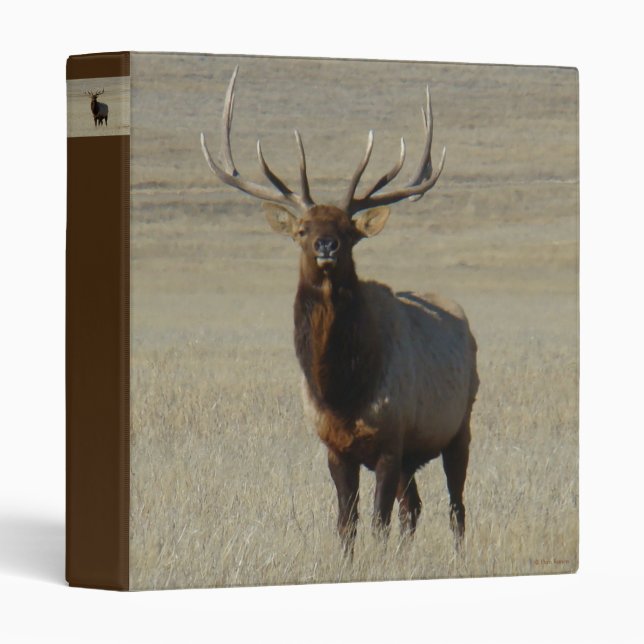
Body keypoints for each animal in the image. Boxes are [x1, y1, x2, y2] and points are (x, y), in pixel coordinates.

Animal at [201, 67, 479, 554]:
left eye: (350, 231)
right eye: (302, 229)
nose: (326, 245)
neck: (342, 390)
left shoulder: (390, 440)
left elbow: (378, 523)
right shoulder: (335, 447)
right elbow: (345, 524)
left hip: (459, 423)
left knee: (455, 507)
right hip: (414, 454)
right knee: (414, 508)